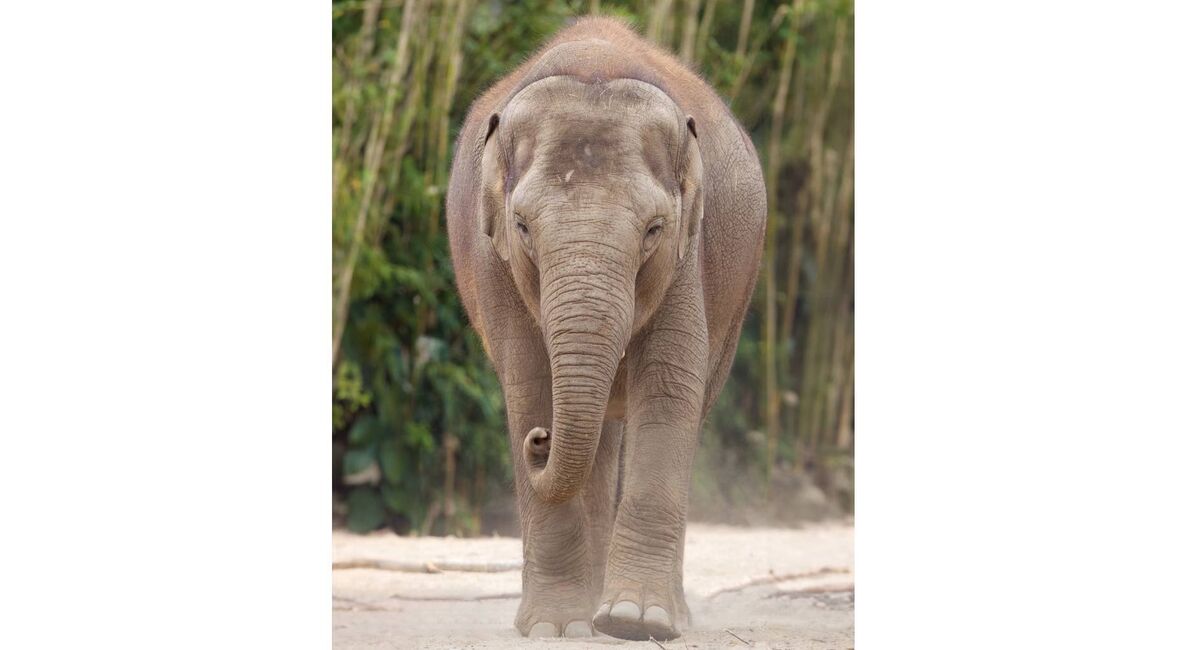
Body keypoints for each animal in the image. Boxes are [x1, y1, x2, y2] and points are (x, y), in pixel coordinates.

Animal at [445, 17, 766, 641]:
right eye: (522, 226)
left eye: (654, 229)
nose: (539, 443)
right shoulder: (493, 259)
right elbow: (531, 386)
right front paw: (555, 629)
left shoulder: (688, 253)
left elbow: (669, 389)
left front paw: (637, 621)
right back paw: (584, 614)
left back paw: (649, 614)